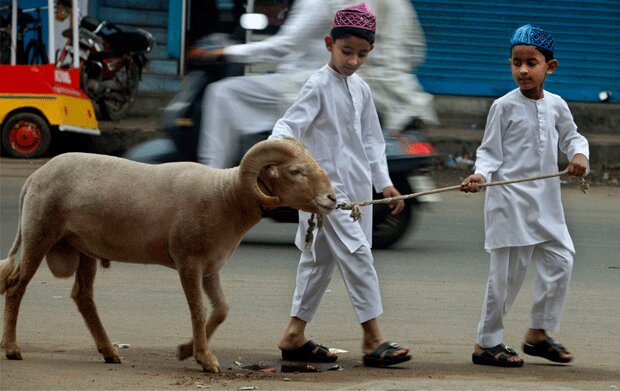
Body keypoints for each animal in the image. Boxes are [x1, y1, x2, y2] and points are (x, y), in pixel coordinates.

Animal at [0, 138, 336, 374]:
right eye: (295, 171)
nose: (332, 199)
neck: (225, 196)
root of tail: (33, 179)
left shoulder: (211, 267)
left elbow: (222, 309)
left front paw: (185, 350)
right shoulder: (188, 261)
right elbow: (199, 310)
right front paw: (205, 359)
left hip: (83, 249)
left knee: (83, 297)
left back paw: (109, 352)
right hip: (39, 233)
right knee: (17, 287)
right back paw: (12, 348)